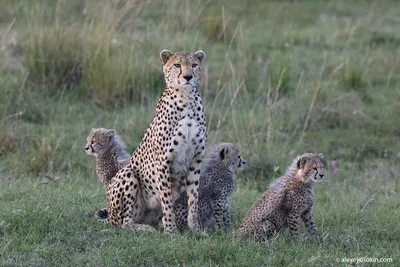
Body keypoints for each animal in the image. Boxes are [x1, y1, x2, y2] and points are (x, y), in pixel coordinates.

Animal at [100, 50, 208, 234]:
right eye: (177, 65)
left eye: (194, 65)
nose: (188, 77)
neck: (186, 99)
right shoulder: (163, 162)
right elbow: (166, 200)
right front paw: (171, 231)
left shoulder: (196, 160)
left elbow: (193, 198)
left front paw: (196, 229)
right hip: (128, 174)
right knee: (124, 223)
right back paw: (144, 228)